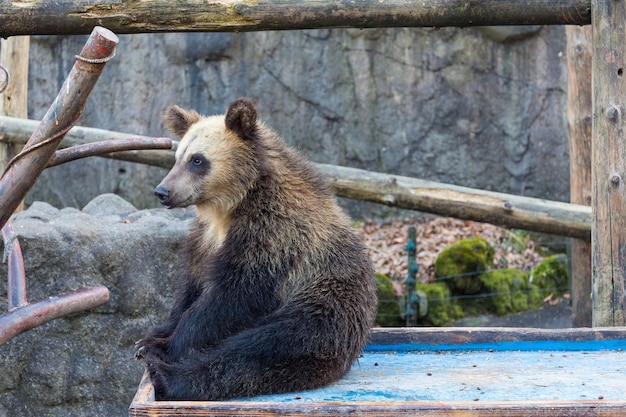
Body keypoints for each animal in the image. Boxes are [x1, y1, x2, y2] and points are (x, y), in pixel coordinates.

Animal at [135, 97, 376, 400]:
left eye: (198, 160)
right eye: (177, 157)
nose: (163, 192)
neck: (232, 205)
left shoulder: (274, 236)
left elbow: (230, 298)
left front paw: (163, 345)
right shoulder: (205, 238)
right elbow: (191, 285)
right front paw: (153, 334)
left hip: (324, 306)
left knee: (264, 349)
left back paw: (168, 376)